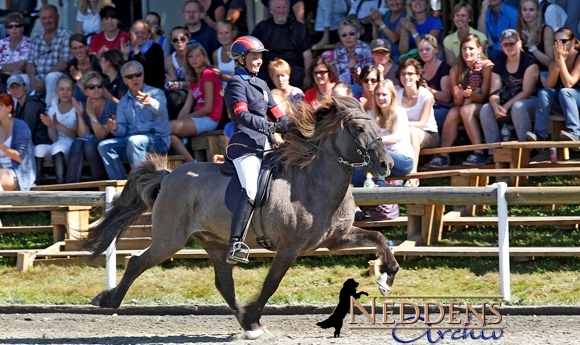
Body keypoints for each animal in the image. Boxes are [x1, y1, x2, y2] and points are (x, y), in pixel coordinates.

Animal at [81, 96, 398, 338]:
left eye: (375, 123)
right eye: (359, 127)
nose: (387, 165)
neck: (315, 179)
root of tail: (169, 176)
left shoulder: (336, 238)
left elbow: (379, 237)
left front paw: (386, 278)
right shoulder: (290, 247)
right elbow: (271, 283)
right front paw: (255, 315)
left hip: (214, 242)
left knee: (223, 282)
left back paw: (247, 325)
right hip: (169, 239)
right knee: (137, 262)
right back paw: (108, 299)